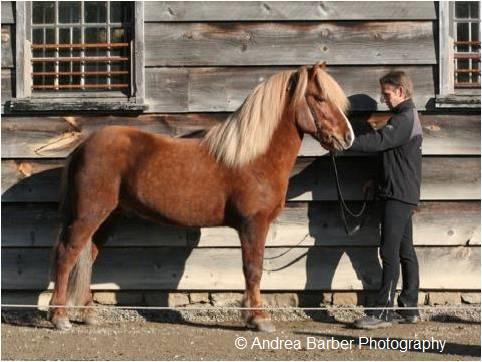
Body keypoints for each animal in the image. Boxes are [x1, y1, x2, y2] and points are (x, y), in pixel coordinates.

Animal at [49, 63, 354, 330]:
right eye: (319, 98)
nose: (347, 137)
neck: (254, 157)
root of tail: (83, 146)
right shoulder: (253, 225)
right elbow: (253, 269)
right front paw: (259, 319)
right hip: (89, 214)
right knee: (67, 254)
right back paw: (59, 317)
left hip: (107, 218)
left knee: (87, 257)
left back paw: (88, 314)